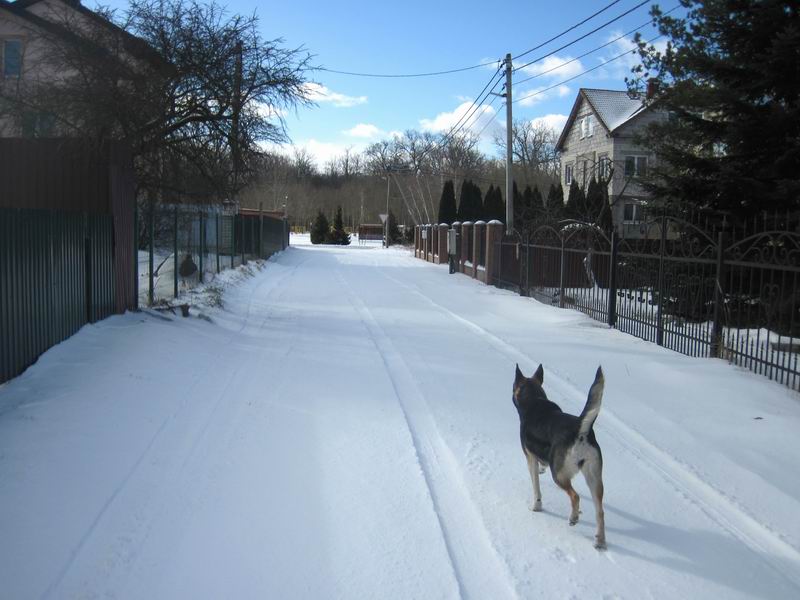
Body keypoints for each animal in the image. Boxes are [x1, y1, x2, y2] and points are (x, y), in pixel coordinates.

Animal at [512, 364, 608, 552]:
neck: (534, 400)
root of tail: (580, 429)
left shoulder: (530, 457)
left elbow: (536, 488)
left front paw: (536, 507)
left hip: (559, 475)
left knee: (575, 496)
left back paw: (573, 518)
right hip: (594, 477)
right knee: (600, 511)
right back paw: (599, 541)